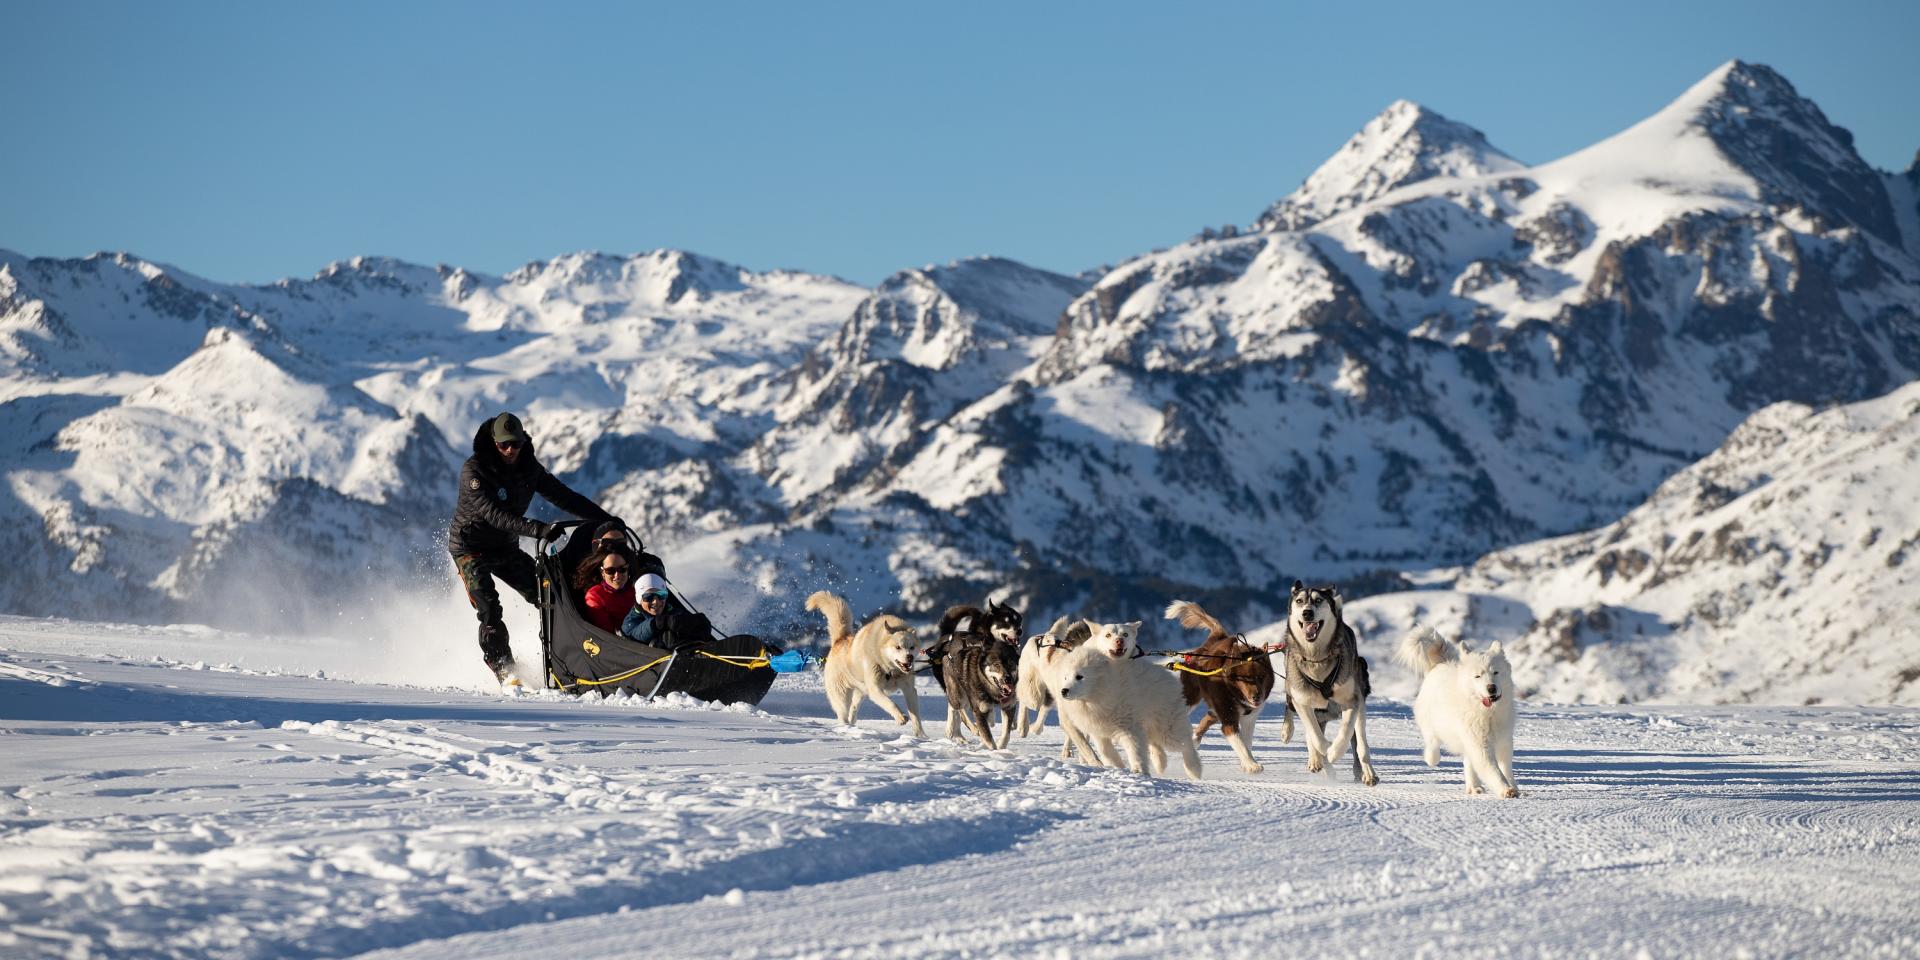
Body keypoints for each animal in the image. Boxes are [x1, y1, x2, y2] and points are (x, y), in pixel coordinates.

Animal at [806, 587, 925, 737]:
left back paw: (853, 726)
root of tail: (840, 640)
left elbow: (916, 717)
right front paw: (900, 717)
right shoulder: (875, 689)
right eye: (898, 647)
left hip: (860, 692)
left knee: (853, 708)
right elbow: (890, 703)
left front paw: (921, 737)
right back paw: (846, 728)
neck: (889, 669)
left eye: (912, 647)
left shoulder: (909, 689)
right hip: (842, 696)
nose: (909, 657)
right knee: (843, 714)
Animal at [1167, 595, 1274, 775]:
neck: (1235, 692)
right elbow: (1240, 743)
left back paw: (1194, 739)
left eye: (1261, 677)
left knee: (1207, 718)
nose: (1256, 697)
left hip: (1216, 708)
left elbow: (1246, 742)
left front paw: (1247, 763)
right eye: (1244, 678)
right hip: (1191, 698)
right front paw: (1252, 765)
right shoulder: (1229, 718)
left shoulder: (1249, 719)